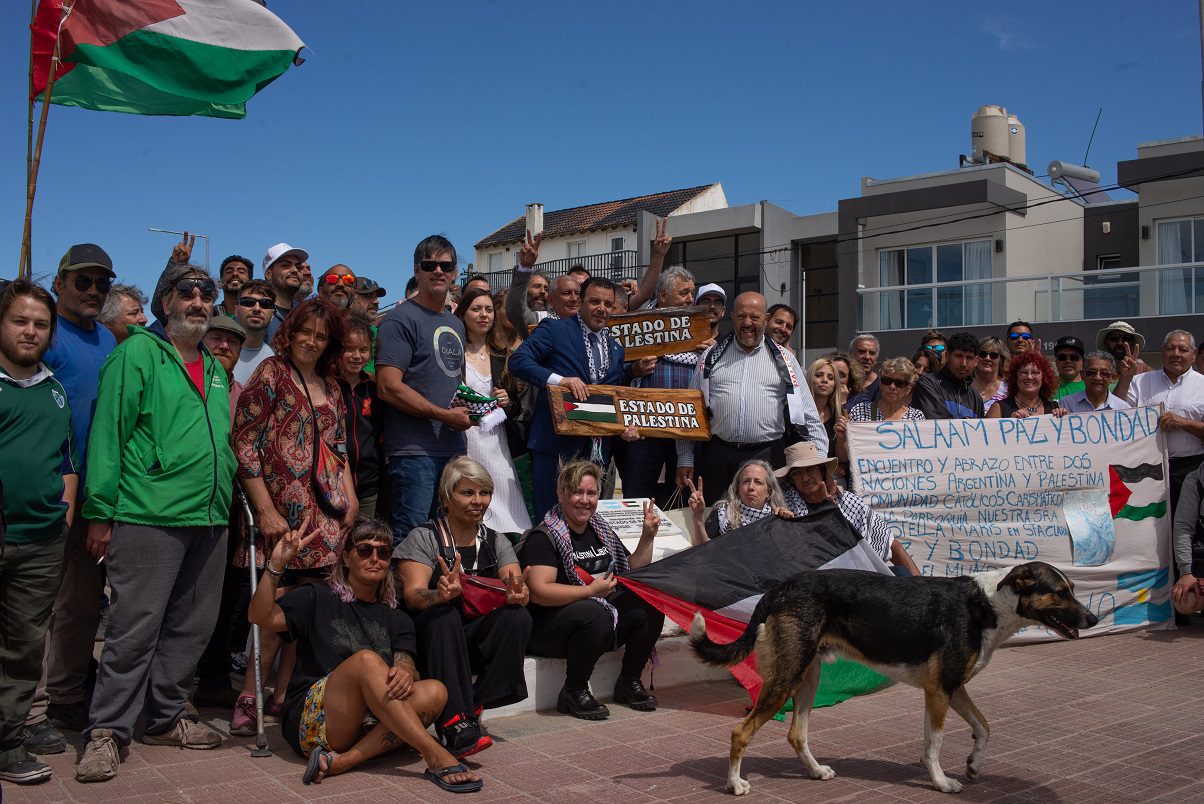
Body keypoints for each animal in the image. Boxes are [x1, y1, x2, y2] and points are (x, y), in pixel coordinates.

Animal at [693, 563, 1098, 794]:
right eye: (1059, 592)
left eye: (1073, 589)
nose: (1093, 619)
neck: (987, 604)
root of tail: (779, 587)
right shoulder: (939, 691)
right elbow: (934, 743)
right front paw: (942, 782)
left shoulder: (952, 687)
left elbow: (983, 727)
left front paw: (973, 765)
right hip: (786, 679)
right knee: (740, 732)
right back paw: (735, 784)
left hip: (808, 677)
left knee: (797, 733)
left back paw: (816, 772)